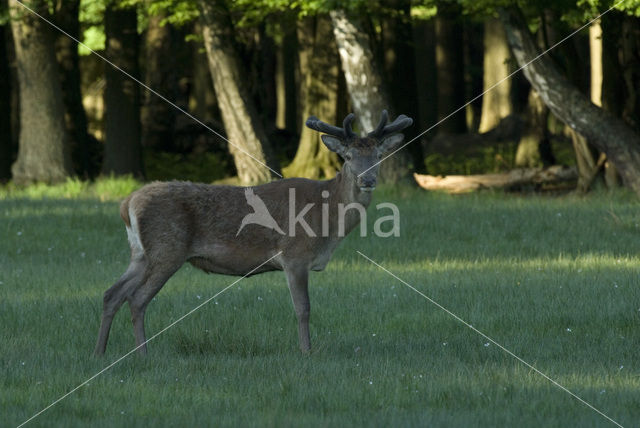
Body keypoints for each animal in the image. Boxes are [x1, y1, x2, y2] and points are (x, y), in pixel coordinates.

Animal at [95, 109, 416, 354]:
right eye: (347, 156)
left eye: (378, 155)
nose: (368, 180)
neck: (328, 221)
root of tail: (127, 203)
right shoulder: (294, 254)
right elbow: (303, 308)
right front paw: (307, 351)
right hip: (167, 249)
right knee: (137, 299)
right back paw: (143, 354)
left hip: (140, 254)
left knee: (112, 293)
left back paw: (100, 352)